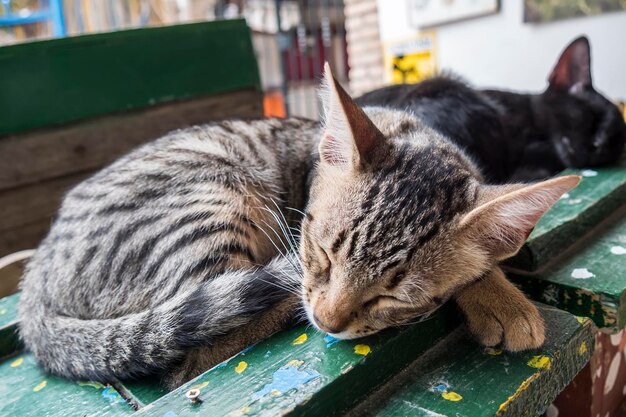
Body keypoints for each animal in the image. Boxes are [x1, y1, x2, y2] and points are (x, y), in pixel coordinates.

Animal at [17, 65, 576, 386]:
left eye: (393, 295)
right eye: (321, 252)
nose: (327, 321)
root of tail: (35, 281)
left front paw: (498, 277)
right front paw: (498, 296)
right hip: (214, 197)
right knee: (190, 355)